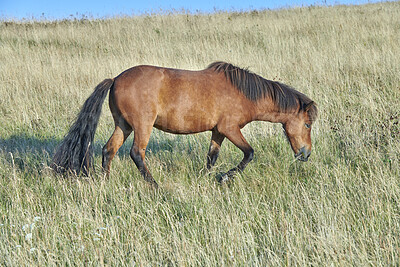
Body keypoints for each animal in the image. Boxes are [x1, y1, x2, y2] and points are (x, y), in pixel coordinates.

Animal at [50, 62, 318, 188]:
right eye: (307, 125)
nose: (306, 154)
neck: (243, 93)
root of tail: (115, 79)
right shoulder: (230, 129)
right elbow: (249, 154)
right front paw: (225, 177)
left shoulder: (218, 131)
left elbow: (211, 157)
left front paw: (207, 178)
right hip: (142, 126)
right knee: (137, 153)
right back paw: (155, 186)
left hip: (123, 126)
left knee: (109, 150)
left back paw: (105, 181)